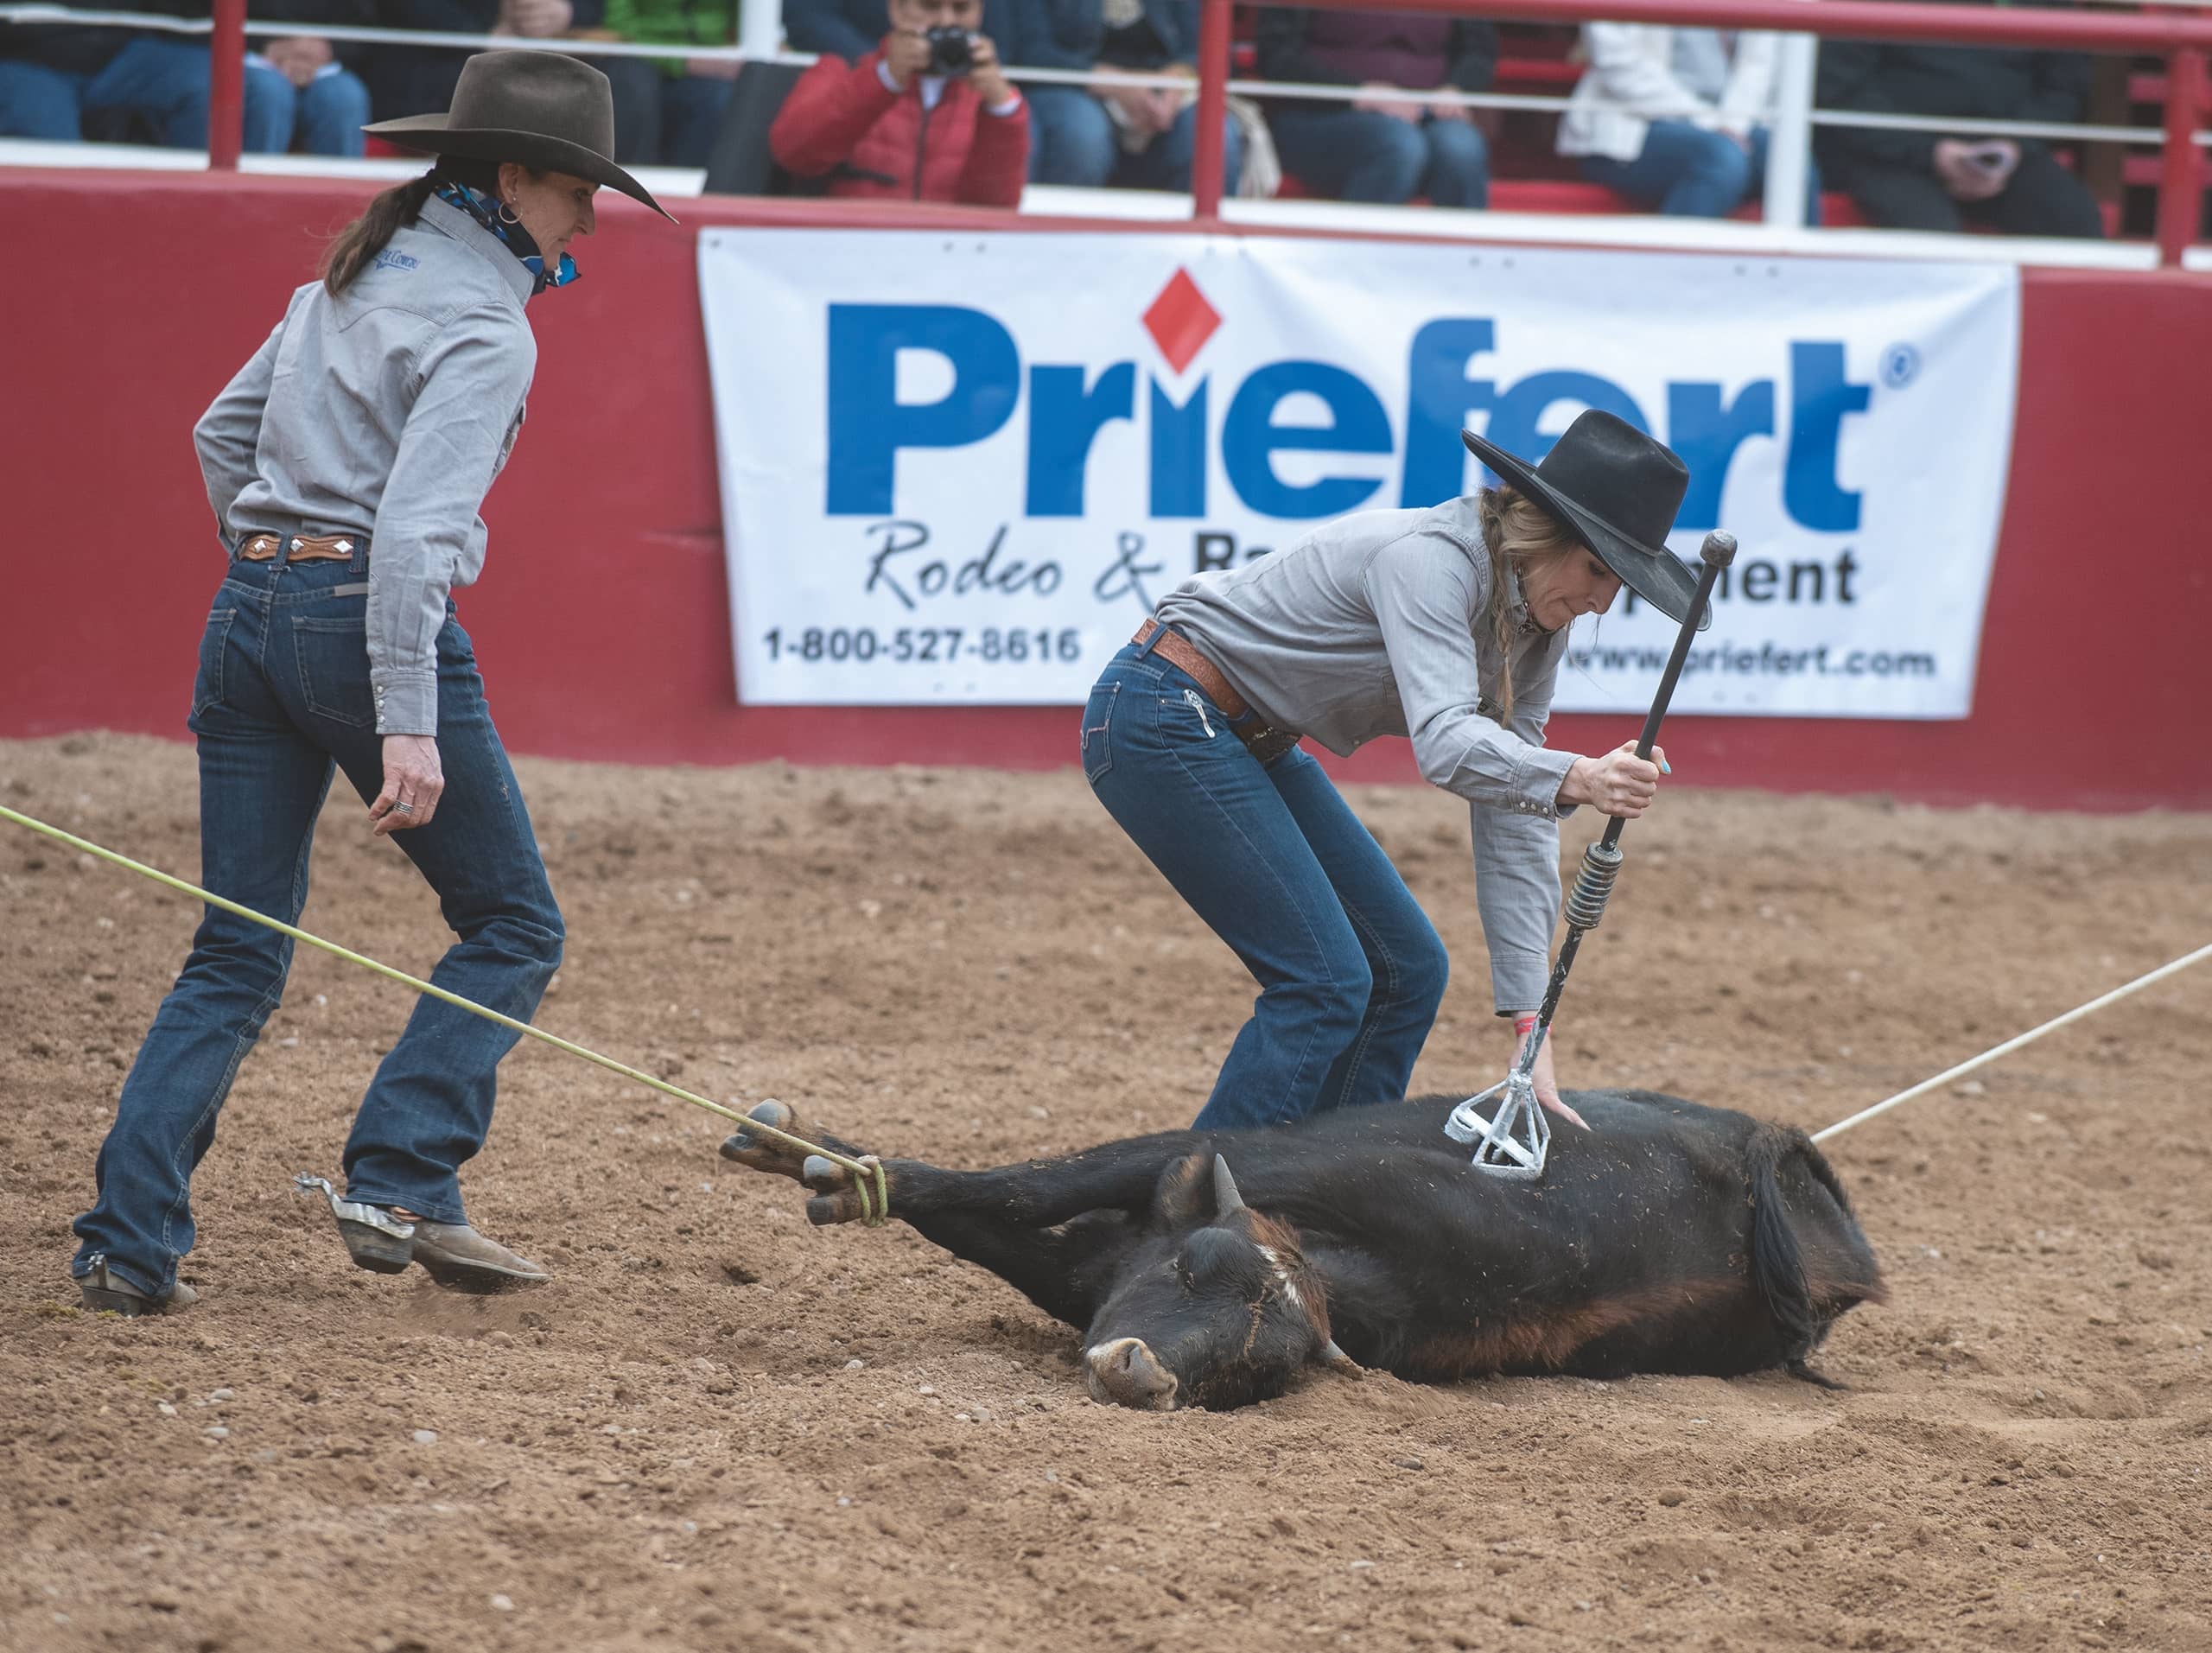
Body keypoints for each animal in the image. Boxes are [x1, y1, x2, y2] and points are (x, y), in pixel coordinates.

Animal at [721, 1097, 1885, 1407]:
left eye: (1253, 1367)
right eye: (1190, 1266)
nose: (1138, 1371)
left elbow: (1007, 1212)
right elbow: (1019, 1194)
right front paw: (819, 1161)